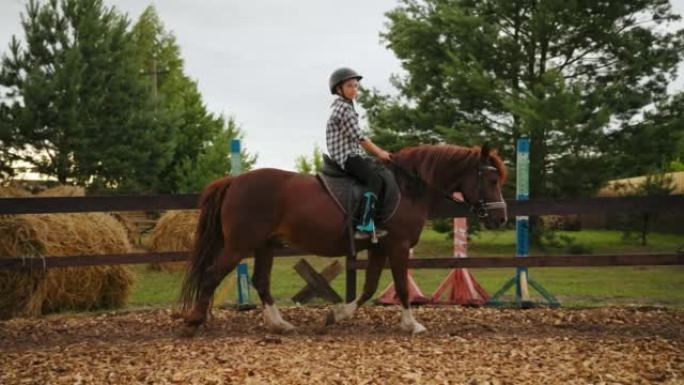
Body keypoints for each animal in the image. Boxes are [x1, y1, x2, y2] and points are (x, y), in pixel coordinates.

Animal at [179, 142, 504, 334]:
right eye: (491, 179)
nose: (500, 218)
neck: (407, 188)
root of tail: (234, 181)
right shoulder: (398, 247)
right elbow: (401, 287)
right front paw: (412, 324)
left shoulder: (379, 248)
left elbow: (370, 287)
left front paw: (338, 316)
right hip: (239, 245)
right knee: (212, 275)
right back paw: (194, 322)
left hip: (264, 246)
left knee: (260, 280)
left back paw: (279, 323)